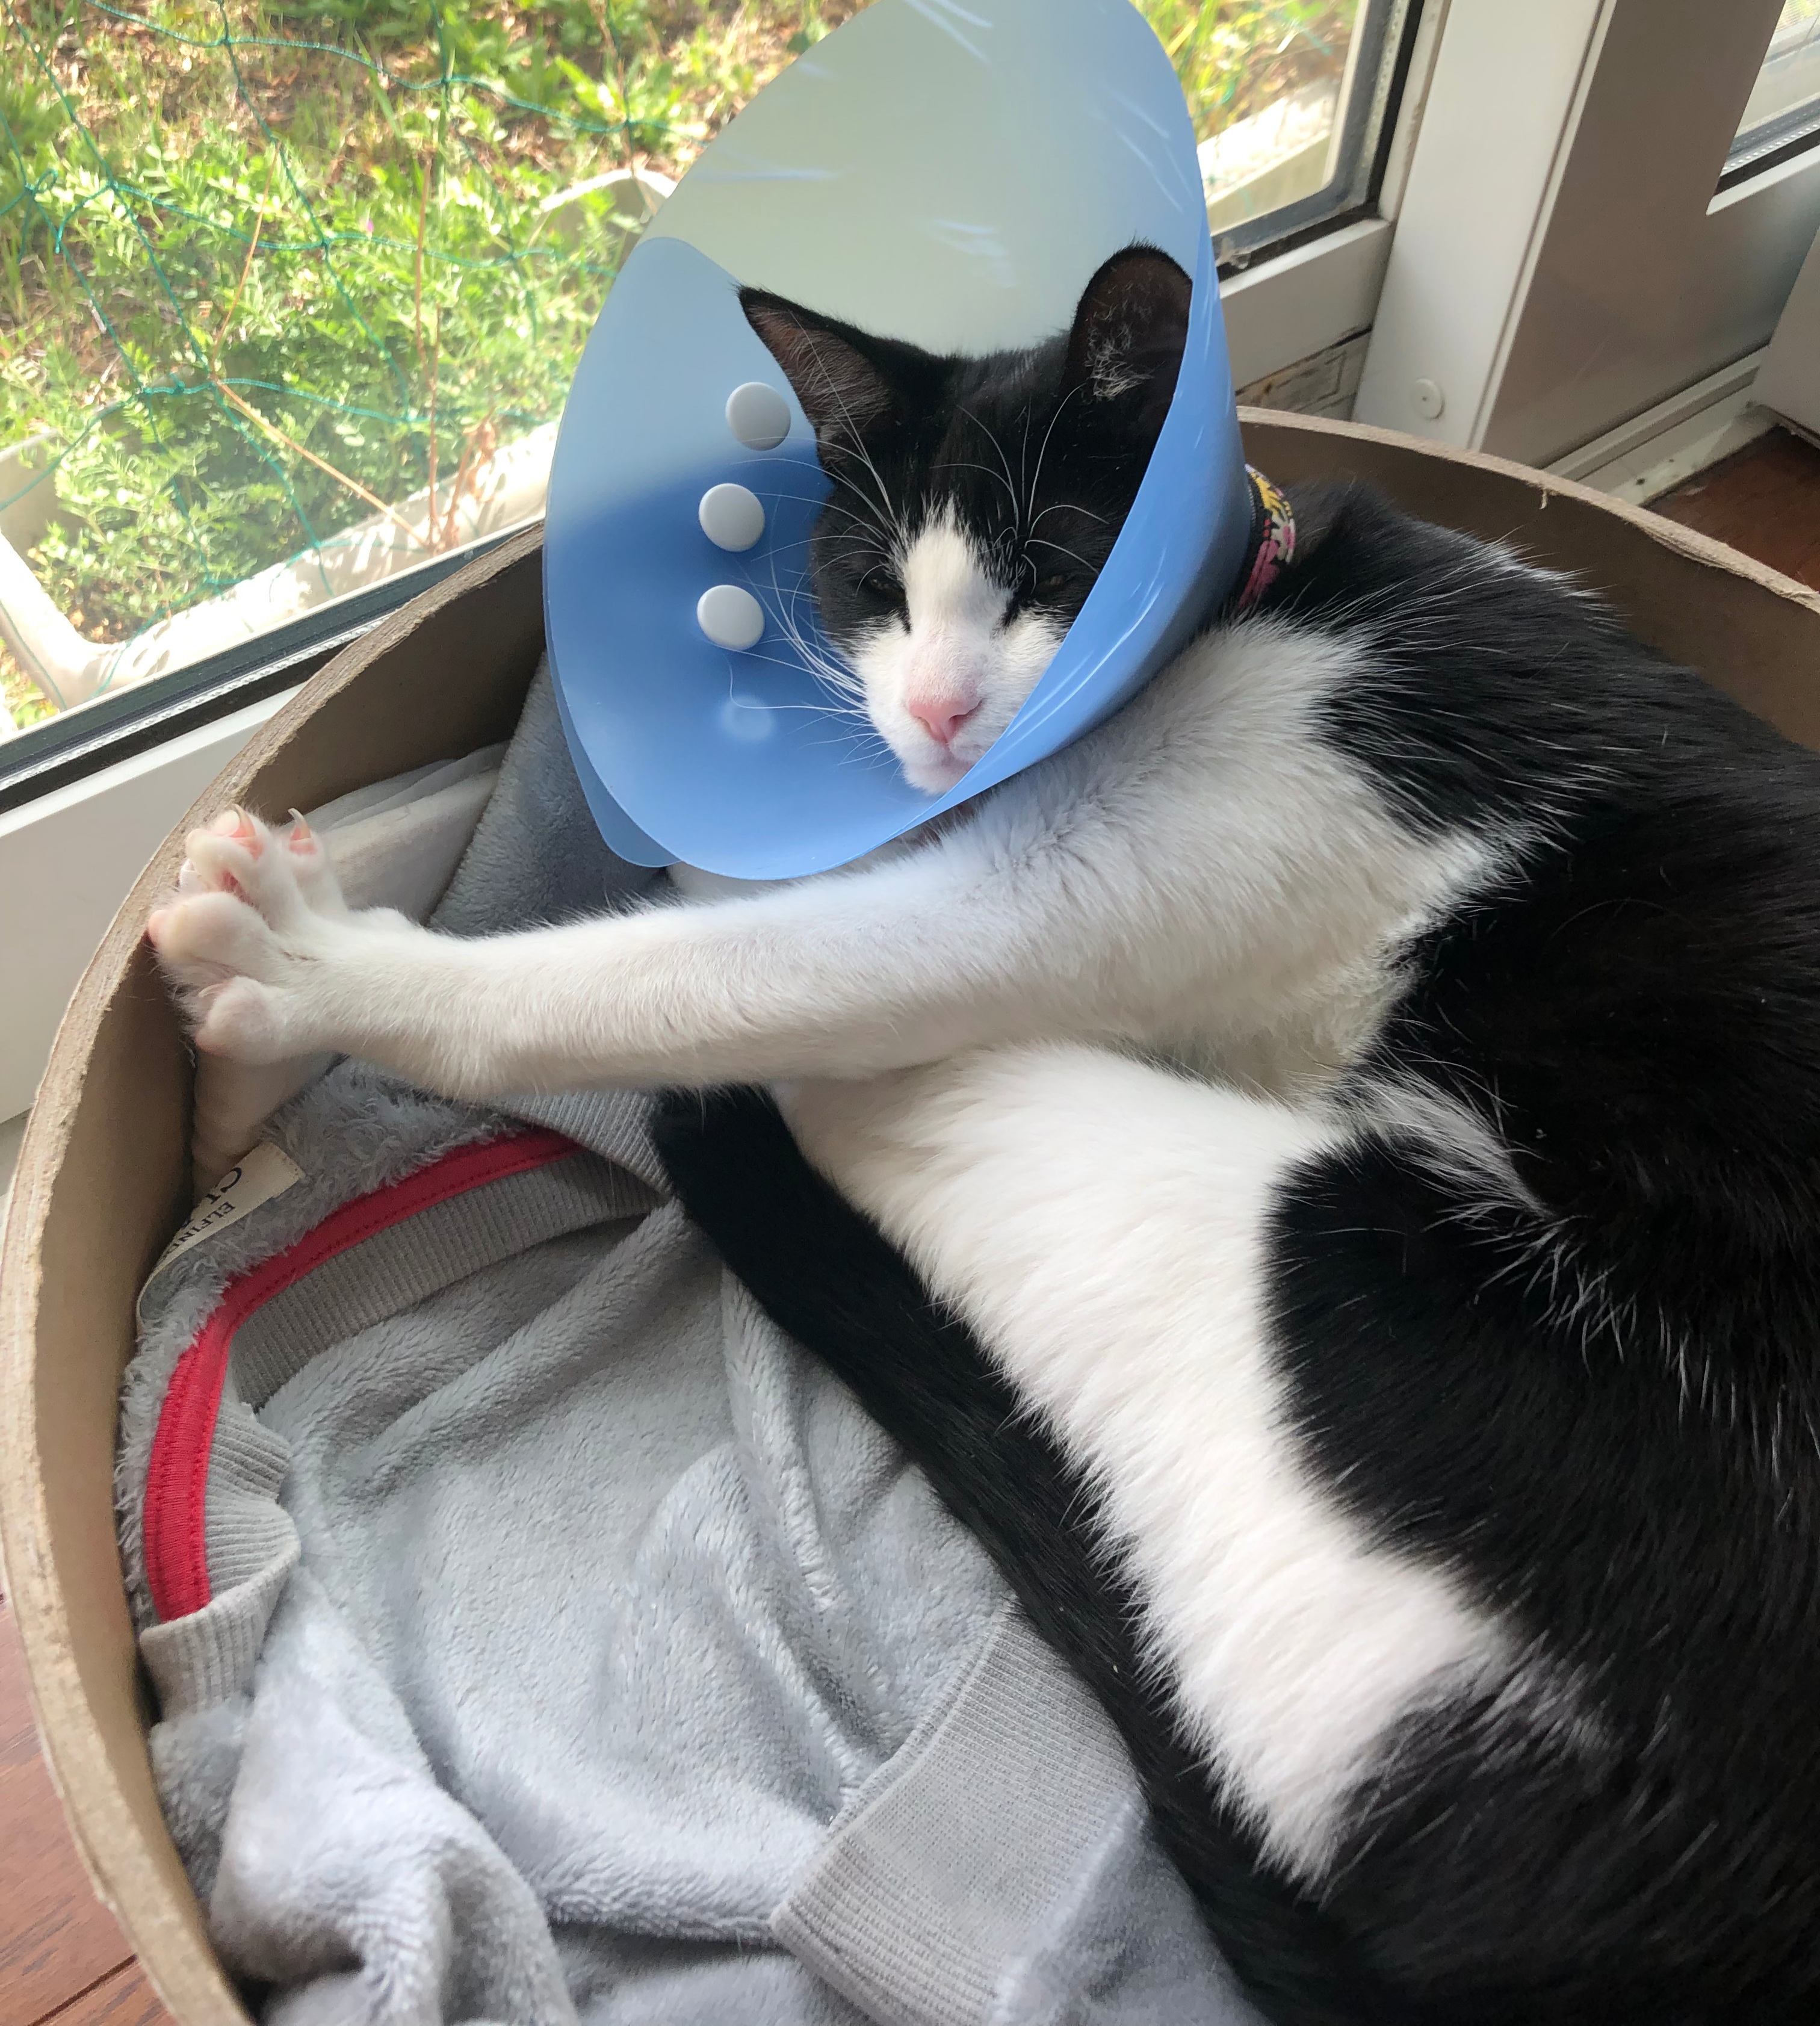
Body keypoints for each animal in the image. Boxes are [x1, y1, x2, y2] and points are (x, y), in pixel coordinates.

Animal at [149, 246, 1820, 2023]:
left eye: (1055, 566)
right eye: (882, 587)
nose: (941, 714)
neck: (1262, 599)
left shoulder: (1096, 874)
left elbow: (682, 953)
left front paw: (300, 972)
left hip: (1322, 1273)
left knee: (829, 1067)